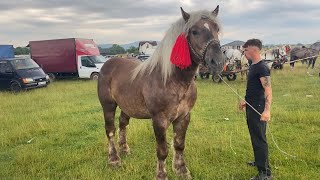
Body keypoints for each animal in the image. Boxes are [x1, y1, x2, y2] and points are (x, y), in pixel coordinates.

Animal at [97, 5, 225, 180]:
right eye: (194, 31)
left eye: (217, 28)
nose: (217, 62)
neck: (172, 79)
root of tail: (108, 63)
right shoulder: (159, 120)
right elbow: (162, 150)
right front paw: (161, 174)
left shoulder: (184, 117)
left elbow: (179, 145)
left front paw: (181, 170)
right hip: (108, 105)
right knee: (110, 130)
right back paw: (114, 159)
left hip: (126, 106)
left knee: (123, 124)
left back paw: (124, 150)